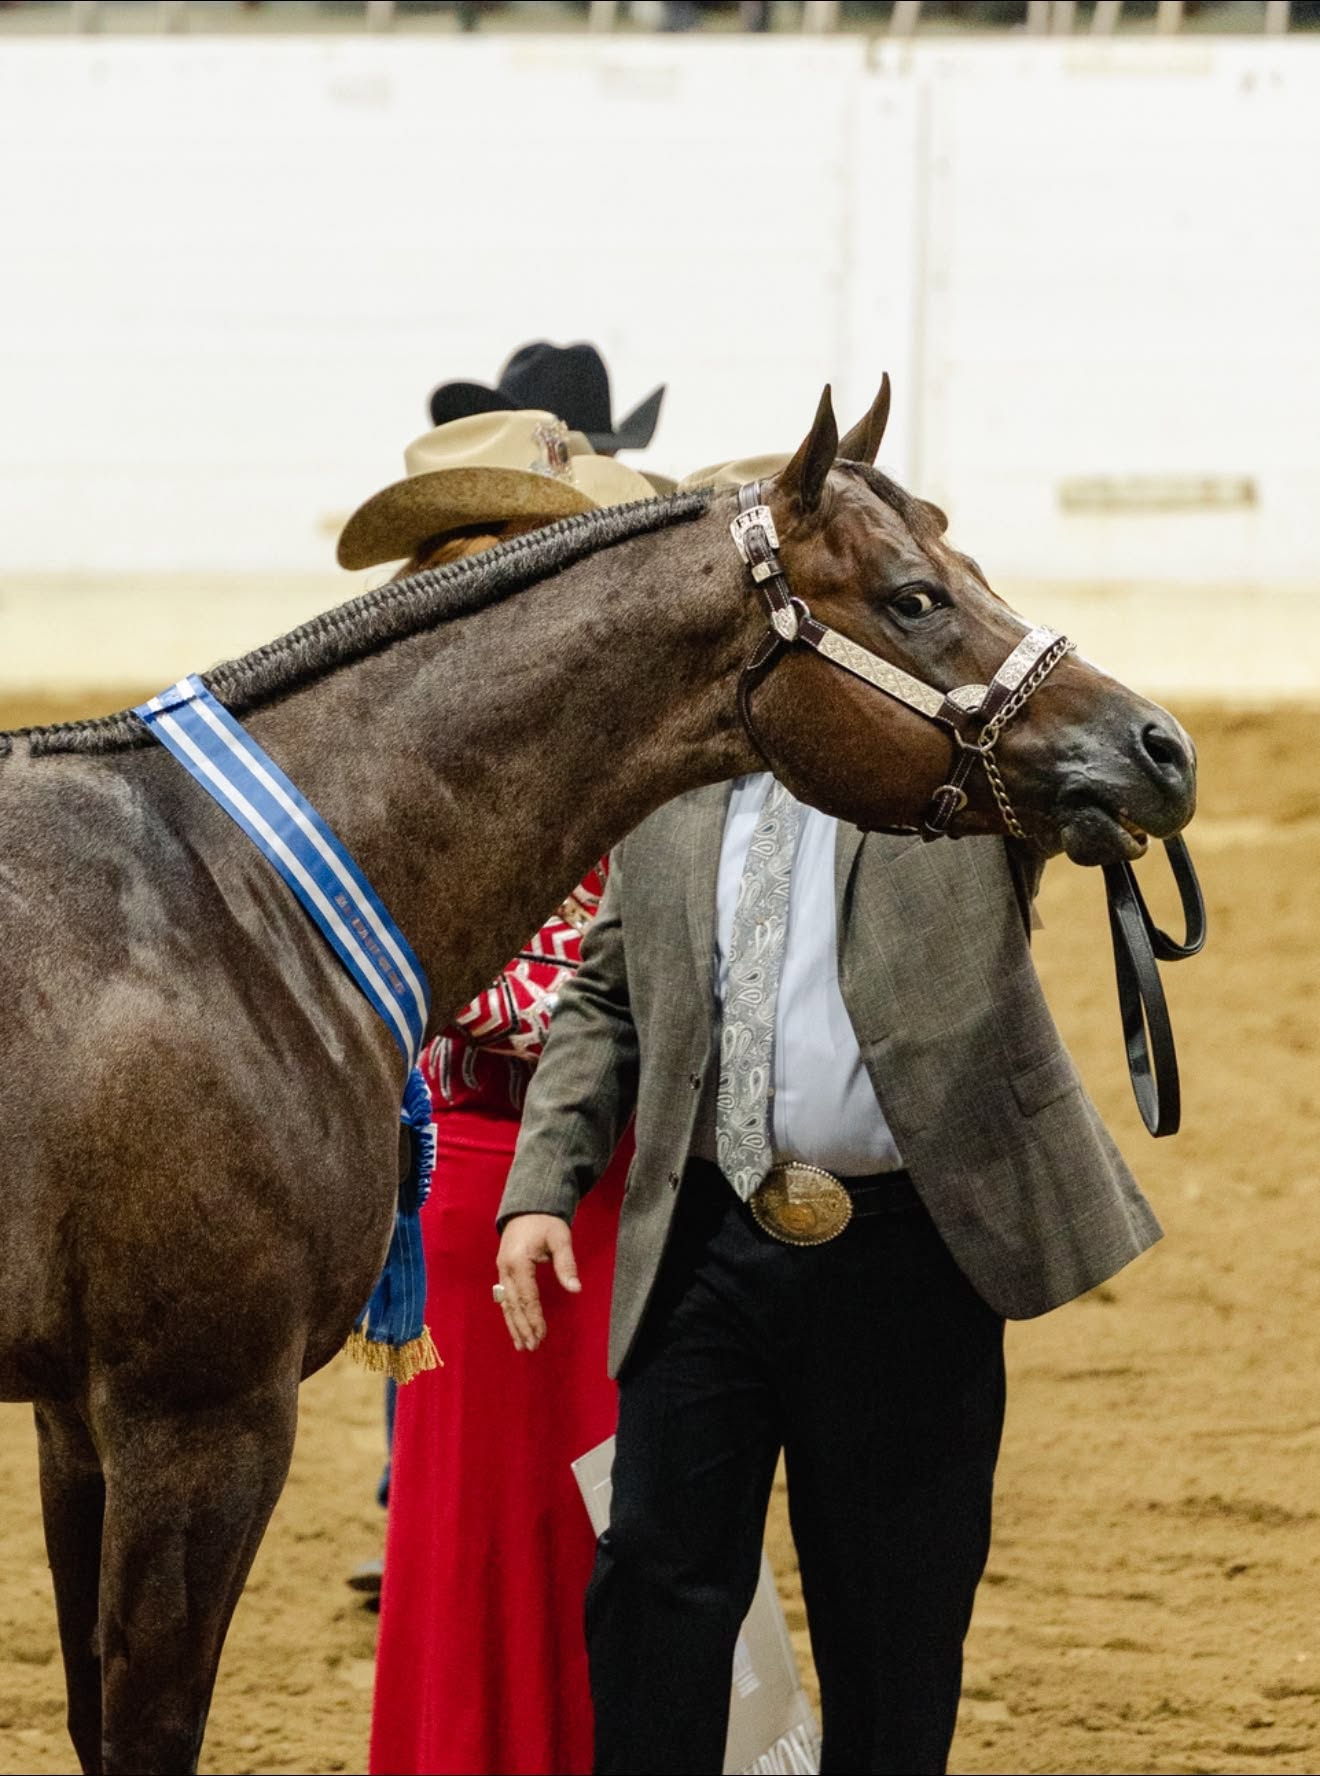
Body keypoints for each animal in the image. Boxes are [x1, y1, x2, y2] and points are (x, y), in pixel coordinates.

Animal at [0, 382, 1196, 1774]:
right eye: (912, 596)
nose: (1161, 748)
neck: (214, 898)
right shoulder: (193, 1420)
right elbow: (146, 1727)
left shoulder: (78, 1422)